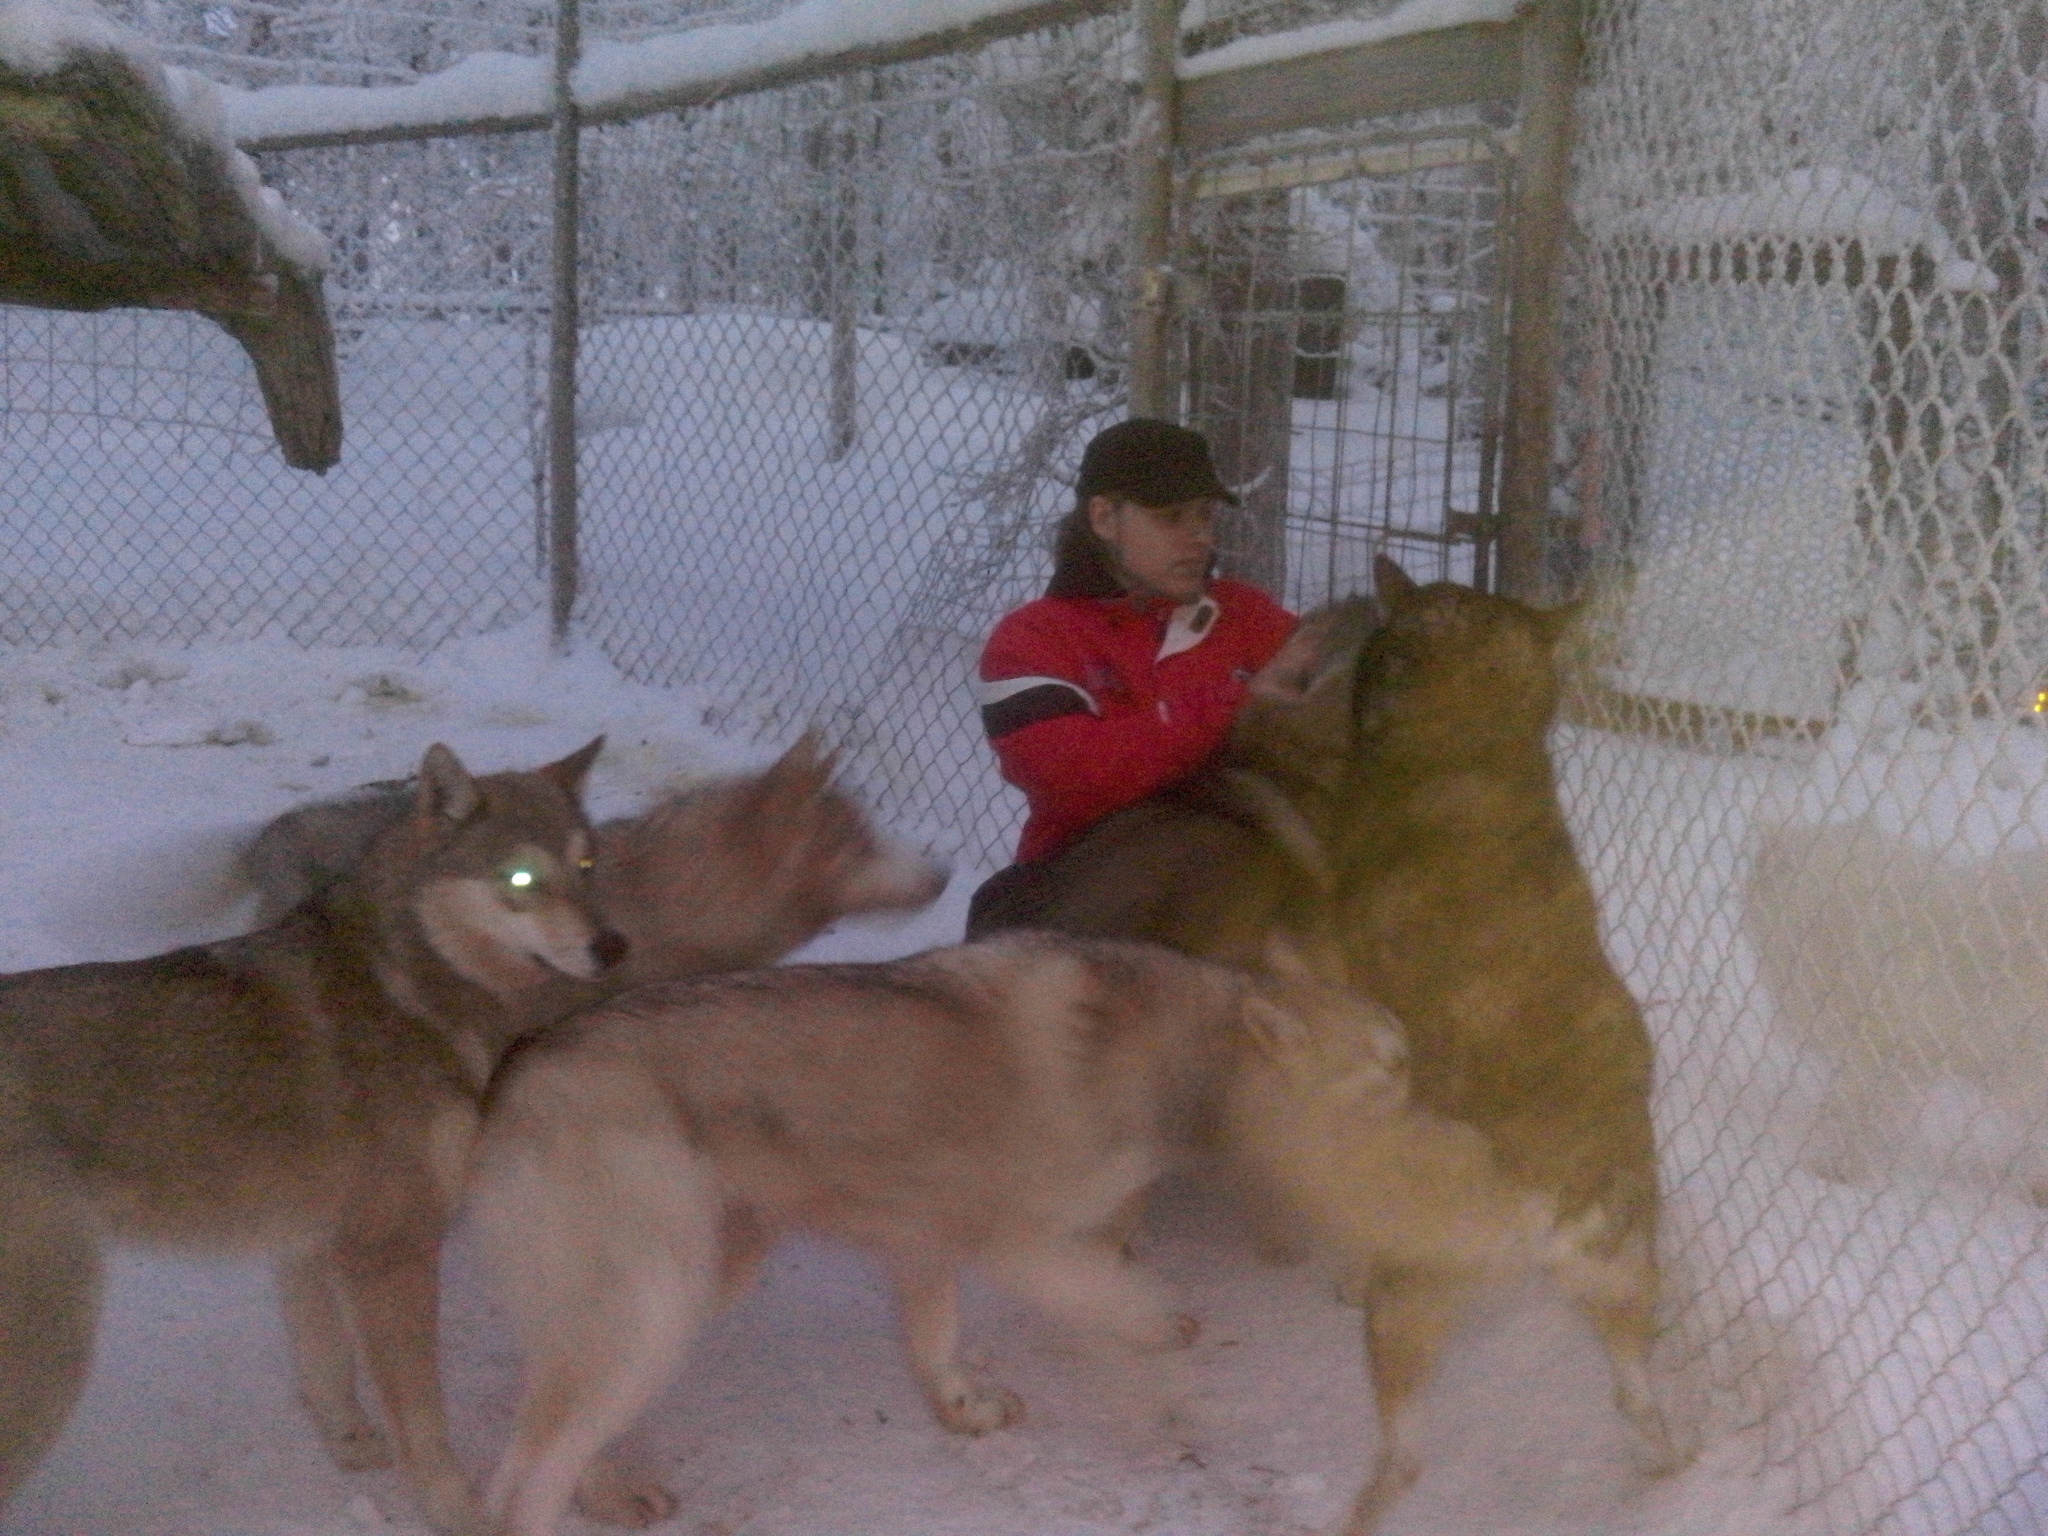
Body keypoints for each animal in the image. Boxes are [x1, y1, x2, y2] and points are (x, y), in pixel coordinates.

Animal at [466, 933, 1335, 1536]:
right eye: (1369, 1100)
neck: (1182, 1060)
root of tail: (518, 1068)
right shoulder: (1024, 1248)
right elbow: (1135, 1305)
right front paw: (1171, 1386)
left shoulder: (927, 1241)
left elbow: (936, 1342)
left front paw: (964, 1411)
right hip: (653, 1312)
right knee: (517, 1486)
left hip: (678, 1292)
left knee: (542, 1419)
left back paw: (611, 1491)